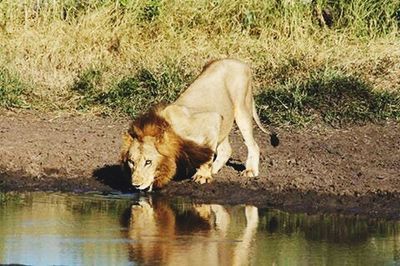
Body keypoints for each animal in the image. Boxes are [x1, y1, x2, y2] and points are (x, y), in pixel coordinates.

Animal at [120, 58, 270, 191]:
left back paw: (250, 170)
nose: (135, 185)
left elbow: (207, 156)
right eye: (131, 162)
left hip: (242, 108)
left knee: (252, 144)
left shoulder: (213, 119)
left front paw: (203, 176)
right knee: (226, 149)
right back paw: (215, 169)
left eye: (148, 162)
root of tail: (240, 62)